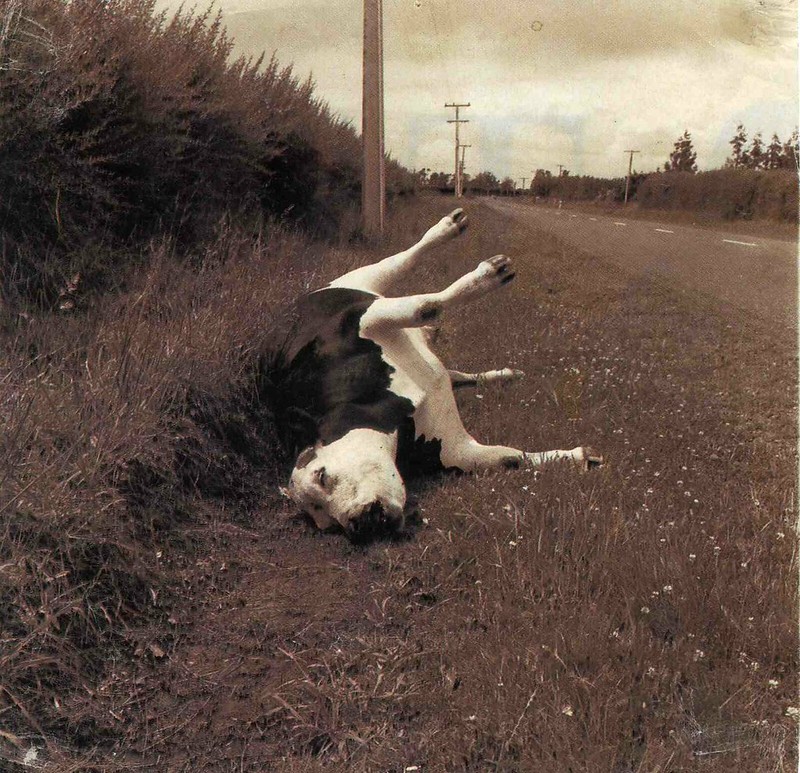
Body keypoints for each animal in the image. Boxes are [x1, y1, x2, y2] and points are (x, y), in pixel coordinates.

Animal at [281, 208, 602, 541]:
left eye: (321, 476)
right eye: (326, 523)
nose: (359, 525)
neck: (398, 418)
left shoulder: (362, 319)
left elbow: (426, 305)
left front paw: (485, 276)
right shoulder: (456, 450)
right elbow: (511, 458)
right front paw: (578, 457)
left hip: (362, 283)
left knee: (404, 261)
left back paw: (451, 231)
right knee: (457, 373)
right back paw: (504, 374)